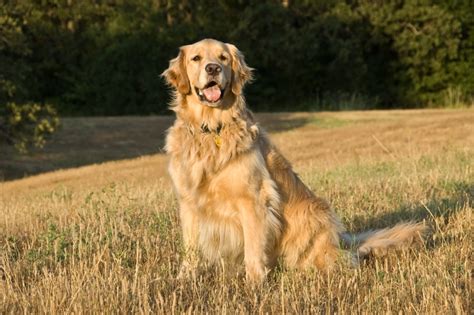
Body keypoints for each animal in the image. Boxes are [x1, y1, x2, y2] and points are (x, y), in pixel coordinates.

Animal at [164, 38, 426, 282]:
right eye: (196, 58)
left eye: (223, 58)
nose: (213, 69)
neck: (211, 129)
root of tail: (341, 241)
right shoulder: (189, 202)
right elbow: (190, 249)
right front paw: (184, 279)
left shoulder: (253, 200)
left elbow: (253, 249)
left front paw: (255, 284)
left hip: (313, 215)